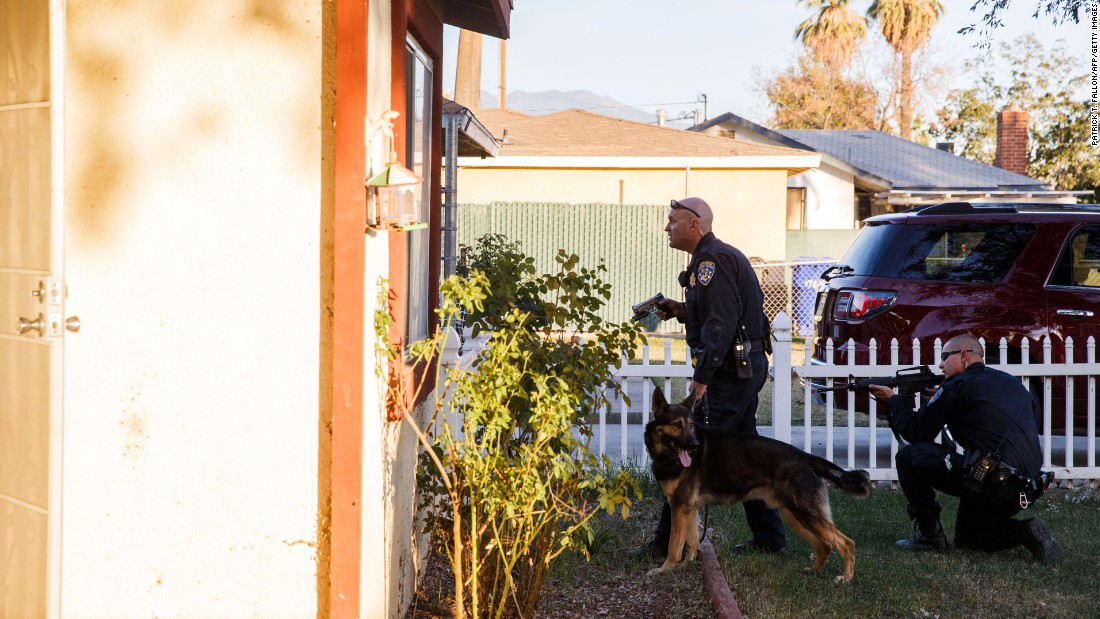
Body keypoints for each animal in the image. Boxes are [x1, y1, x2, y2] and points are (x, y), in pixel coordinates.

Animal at [642, 387, 866, 580]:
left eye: (691, 425)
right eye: (677, 424)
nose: (695, 446)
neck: (668, 455)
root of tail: (806, 457)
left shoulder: (679, 507)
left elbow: (674, 545)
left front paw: (665, 570)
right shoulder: (687, 508)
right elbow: (691, 542)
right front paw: (686, 566)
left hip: (807, 514)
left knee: (847, 543)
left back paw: (846, 578)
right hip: (794, 516)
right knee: (824, 546)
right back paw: (813, 572)